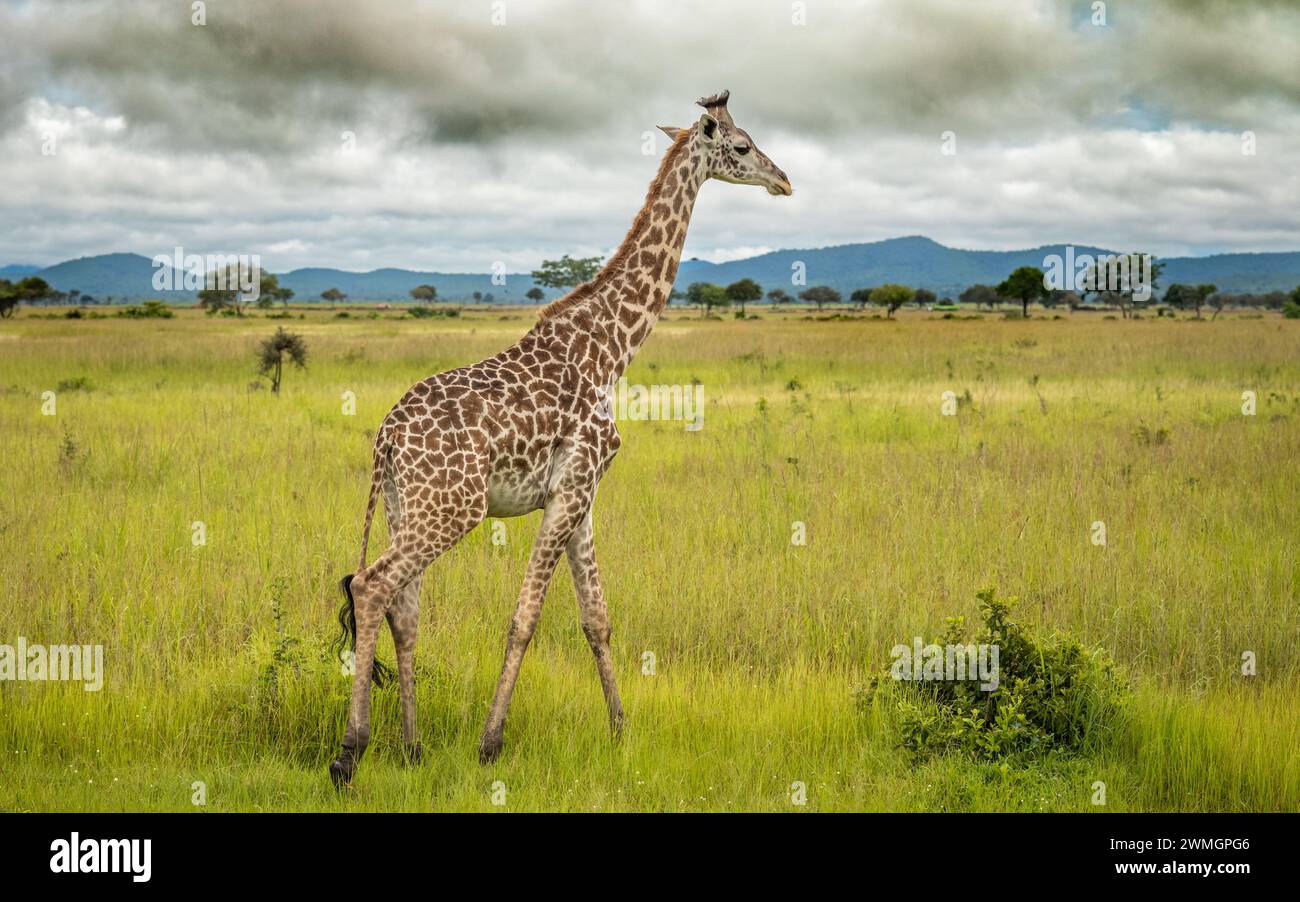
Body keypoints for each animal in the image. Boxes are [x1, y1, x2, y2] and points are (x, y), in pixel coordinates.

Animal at [330, 88, 785, 790]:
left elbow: (597, 617)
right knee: (370, 585)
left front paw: (621, 732)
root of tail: (384, 439)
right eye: (742, 146)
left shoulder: (580, 494)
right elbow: (525, 619)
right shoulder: (572, 488)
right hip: (453, 509)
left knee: (403, 608)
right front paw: (490, 743)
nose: (784, 180)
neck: (613, 348)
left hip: (410, 507)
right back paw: (350, 751)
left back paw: (410, 747)